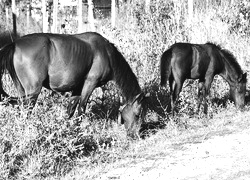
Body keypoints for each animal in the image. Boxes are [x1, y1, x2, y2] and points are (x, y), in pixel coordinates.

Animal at [0, 32, 148, 138]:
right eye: (137, 115)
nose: (136, 135)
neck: (106, 53)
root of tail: (15, 44)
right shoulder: (89, 83)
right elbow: (81, 109)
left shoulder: (77, 87)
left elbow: (70, 110)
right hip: (33, 92)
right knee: (27, 111)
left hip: (22, 91)